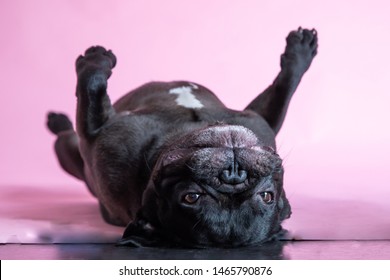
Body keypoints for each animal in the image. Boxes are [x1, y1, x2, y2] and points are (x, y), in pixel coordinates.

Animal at [47, 27, 318, 247]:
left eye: (191, 197)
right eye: (267, 196)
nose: (234, 174)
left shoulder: (93, 139)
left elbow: (90, 93)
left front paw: (94, 60)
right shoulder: (261, 121)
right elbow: (282, 94)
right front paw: (300, 51)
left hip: (68, 150)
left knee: (67, 134)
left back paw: (57, 121)